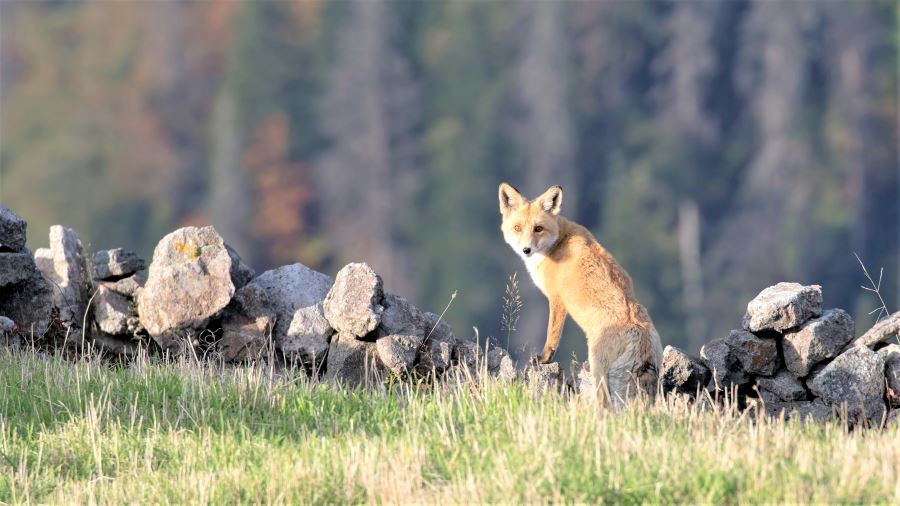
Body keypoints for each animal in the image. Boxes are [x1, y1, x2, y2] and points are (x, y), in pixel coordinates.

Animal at [496, 184, 664, 410]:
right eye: (518, 228)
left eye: (538, 228)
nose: (526, 250)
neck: (558, 242)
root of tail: (640, 330)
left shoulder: (557, 299)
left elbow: (552, 336)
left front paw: (544, 359)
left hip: (599, 373)